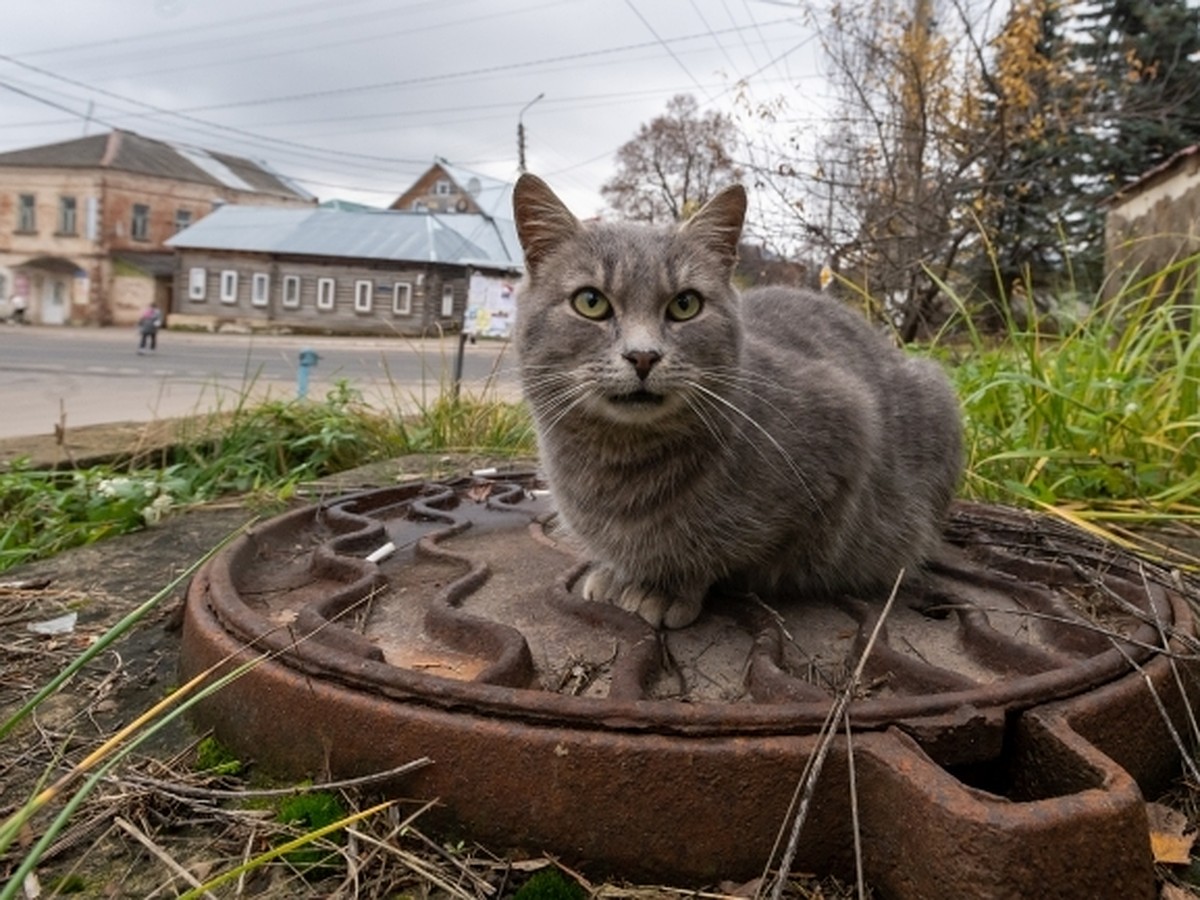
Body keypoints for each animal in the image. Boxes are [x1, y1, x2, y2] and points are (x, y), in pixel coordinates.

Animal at [511, 174, 960, 628]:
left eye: (685, 304)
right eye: (591, 302)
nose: (643, 356)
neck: (618, 463)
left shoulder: (849, 428)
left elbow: (724, 551)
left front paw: (663, 586)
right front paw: (616, 571)